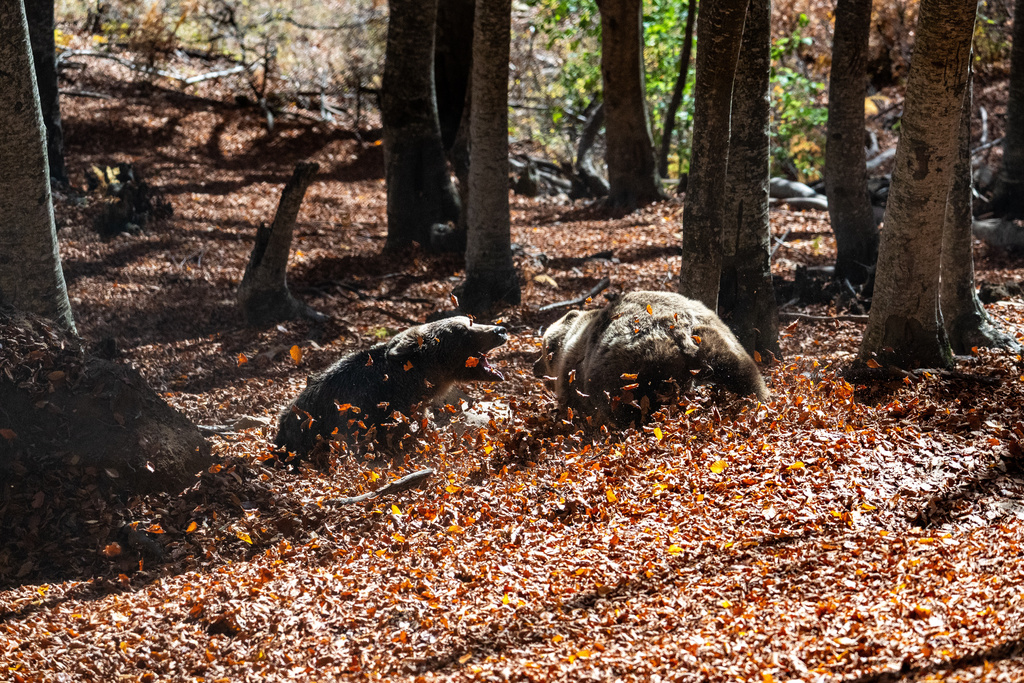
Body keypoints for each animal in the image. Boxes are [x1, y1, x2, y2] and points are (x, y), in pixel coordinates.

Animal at [533, 291, 769, 427]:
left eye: (542, 350)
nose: (535, 368)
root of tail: (680, 329)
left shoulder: (573, 374)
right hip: (720, 340)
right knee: (747, 377)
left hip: (634, 370)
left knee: (632, 406)